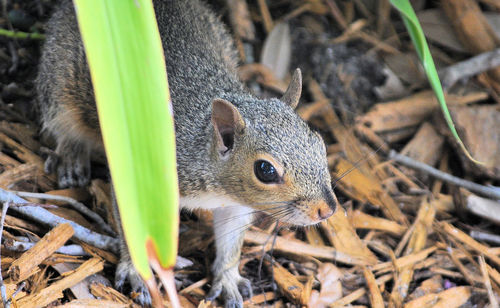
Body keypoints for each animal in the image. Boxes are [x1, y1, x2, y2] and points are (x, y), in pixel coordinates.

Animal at [37, 0, 338, 306]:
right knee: (65, 126)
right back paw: (72, 158)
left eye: (320, 143)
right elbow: (135, 232)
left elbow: (230, 241)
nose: (327, 209)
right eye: (265, 170)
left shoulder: (234, 206)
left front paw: (228, 278)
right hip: (61, 84)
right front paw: (136, 271)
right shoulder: (141, 184)